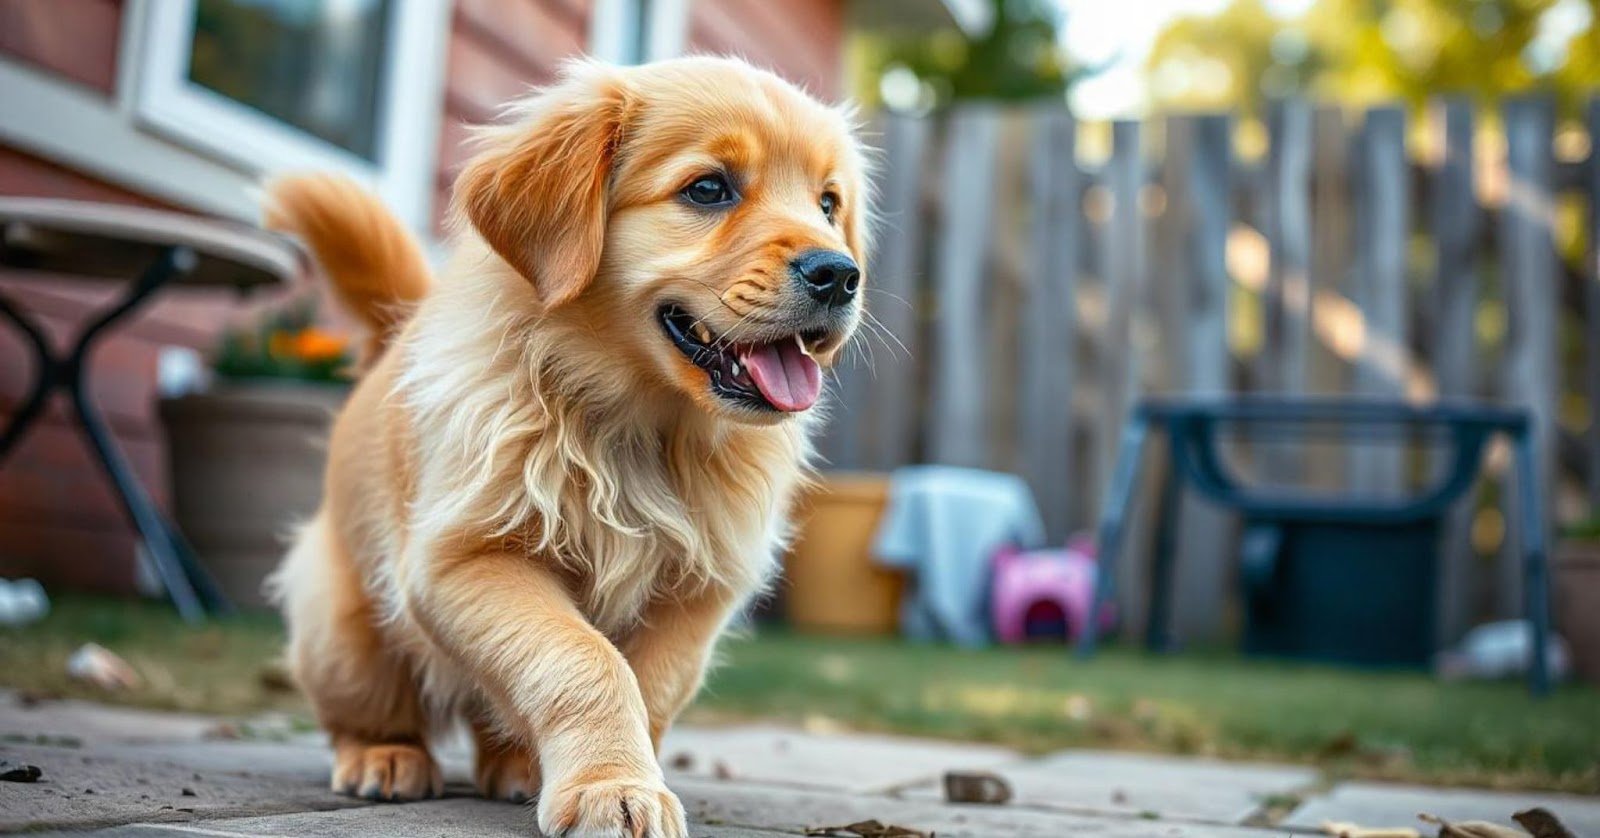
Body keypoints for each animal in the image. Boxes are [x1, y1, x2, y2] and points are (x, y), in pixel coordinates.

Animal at [260, 58, 870, 838]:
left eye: (828, 203)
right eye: (708, 188)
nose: (840, 274)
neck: (638, 426)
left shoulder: (697, 592)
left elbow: (650, 686)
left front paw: (618, 775)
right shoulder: (466, 559)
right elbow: (583, 657)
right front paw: (614, 786)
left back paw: (515, 766)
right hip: (341, 627)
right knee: (367, 707)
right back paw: (383, 755)